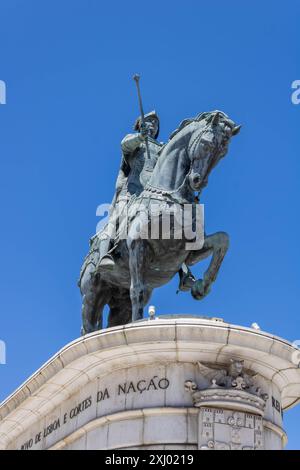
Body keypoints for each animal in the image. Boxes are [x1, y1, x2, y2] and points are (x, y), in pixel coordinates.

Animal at [78, 111, 240, 332]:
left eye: (223, 152)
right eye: (206, 144)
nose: (197, 181)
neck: (171, 198)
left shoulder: (188, 251)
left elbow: (223, 240)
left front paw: (201, 286)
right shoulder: (137, 246)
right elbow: (136, 289)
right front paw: (138, 326)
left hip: (118, 299)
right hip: (92, 294)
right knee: (89, 325)